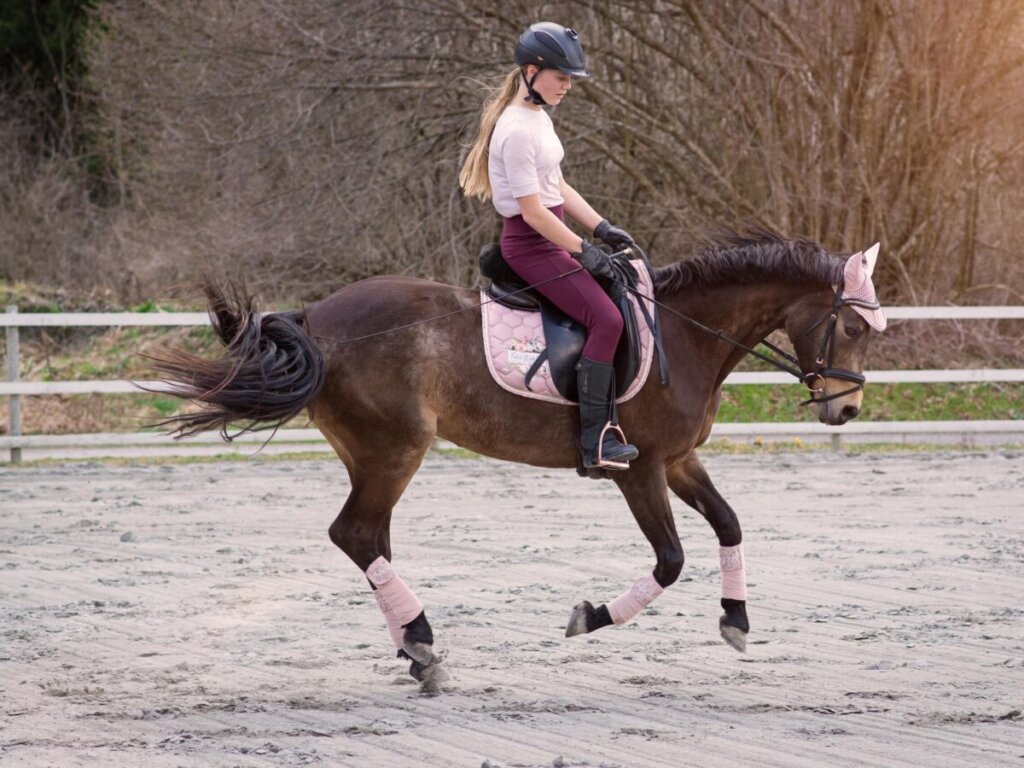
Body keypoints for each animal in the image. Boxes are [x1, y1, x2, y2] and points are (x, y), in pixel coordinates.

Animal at [149, 229, 886, 689]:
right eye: (852, 326)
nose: (846, 409)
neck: (684, 333)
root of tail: (315, 317)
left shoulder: (679, 462)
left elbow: (729, 523)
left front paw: (736, 621)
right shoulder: (639, 468)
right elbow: (672, 560)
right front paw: (590, 618)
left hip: (375, 456)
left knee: (372, 539)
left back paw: (415, 650)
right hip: (393, 449)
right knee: (355, 533)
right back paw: (422, 643)